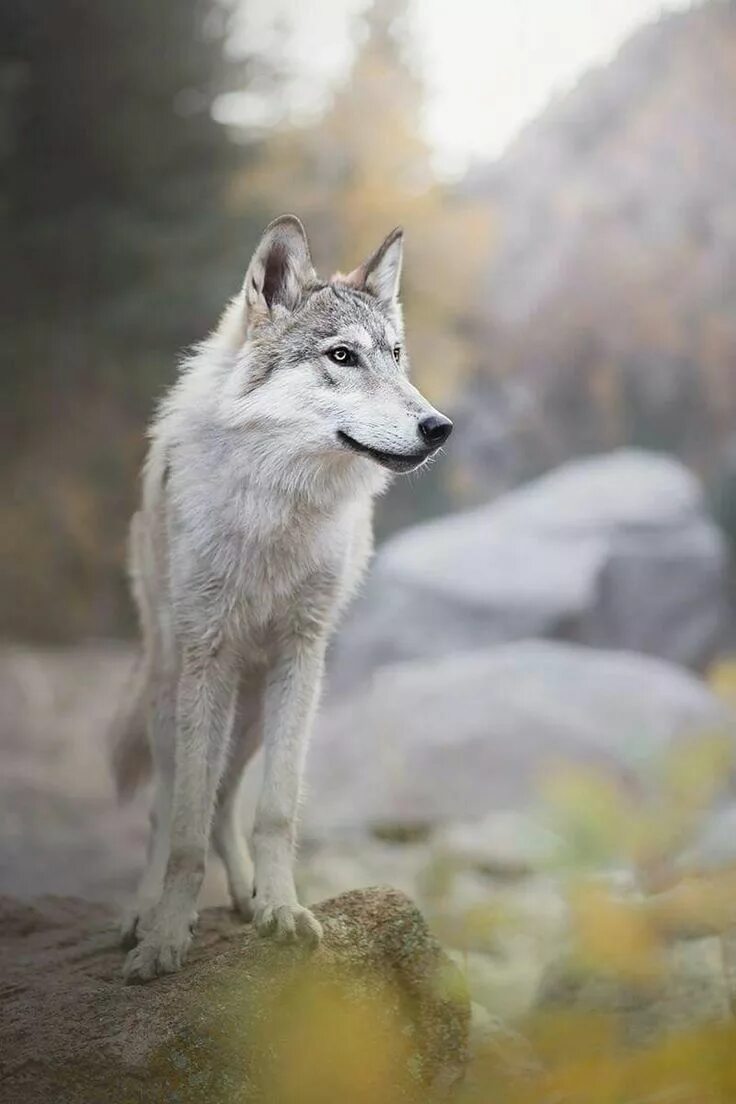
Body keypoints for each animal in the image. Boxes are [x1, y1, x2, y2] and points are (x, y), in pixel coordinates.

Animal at [112, 215, 452, 984]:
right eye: (341, 356)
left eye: (395, 356)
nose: (439, 427)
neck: (280, 512)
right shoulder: (208, 658)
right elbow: (182, 829)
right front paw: (165, 938)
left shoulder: (303, 657)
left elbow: (275, 811)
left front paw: (283, 910)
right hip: (175, 689)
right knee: (168, 808)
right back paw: (142, 913)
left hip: (255, 709)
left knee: (225, 803)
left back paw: (243, 897)